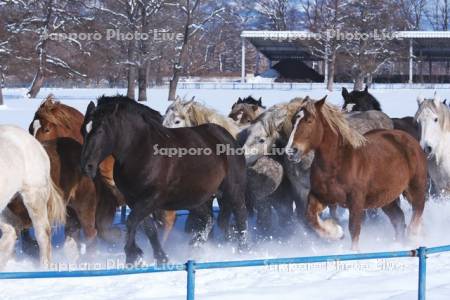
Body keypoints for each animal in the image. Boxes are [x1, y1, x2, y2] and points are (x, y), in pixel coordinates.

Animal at [81, 96, 250, 264]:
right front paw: (160, 257)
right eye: (84, 130)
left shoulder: (152, 199)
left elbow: (131, 221)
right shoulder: (133, 200)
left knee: (241, 215)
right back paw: (195, 247)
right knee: (208, 219)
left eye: (100, 130)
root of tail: (228, 136)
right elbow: (149, 229)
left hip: (232, 190)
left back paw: (242, 251)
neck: (141, 151)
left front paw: (132, 255)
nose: (87, 167)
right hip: (195, 199)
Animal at [286, 97, 428, 250]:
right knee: (399, 219)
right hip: (387, 199)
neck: (337, 164)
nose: (291, 151)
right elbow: (311, 216)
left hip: (415, 189)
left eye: (309, 120)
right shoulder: (321, 196)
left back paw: (412, 238)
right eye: (293, 121)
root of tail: (411, 140)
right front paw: (336, 232)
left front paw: (353, 250)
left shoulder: (356, 201)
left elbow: (354, 229)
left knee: (417, 212)